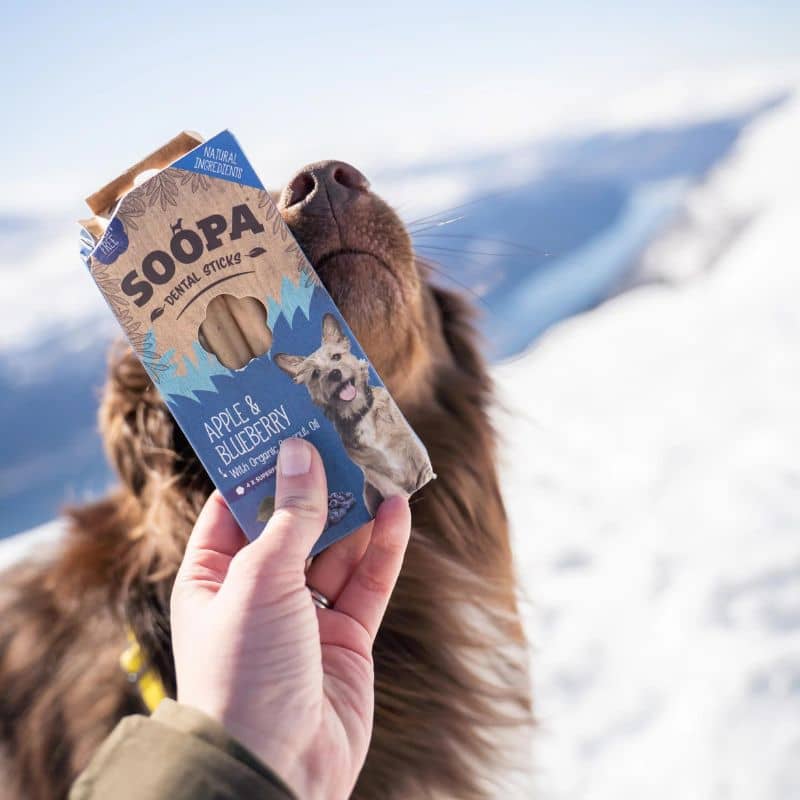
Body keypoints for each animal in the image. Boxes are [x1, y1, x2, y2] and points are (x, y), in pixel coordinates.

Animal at [276, 312, 438, 512]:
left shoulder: (415, 453)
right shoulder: (376, 475)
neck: (361, 413)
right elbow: (392, 490)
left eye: (336, 356)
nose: (335, 374)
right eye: (315, 373)